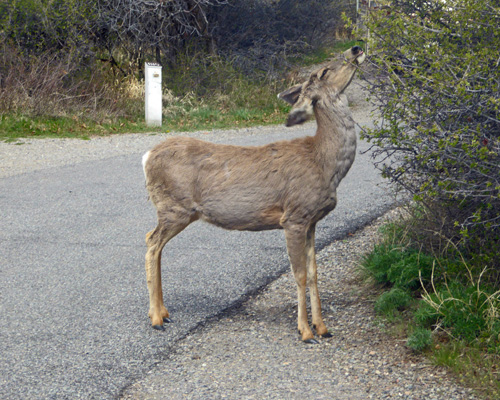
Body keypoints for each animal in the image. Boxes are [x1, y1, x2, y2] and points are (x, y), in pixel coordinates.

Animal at [143, 45, 366, 342]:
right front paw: (305, 330)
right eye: (323, 71)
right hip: (174, 207)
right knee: (152, 242)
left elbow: (314, 273)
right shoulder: (294, 216)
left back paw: (164, 312)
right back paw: (156, 317)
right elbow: (299, 275)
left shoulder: (312, 221)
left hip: (174, 210)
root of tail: (147, 156)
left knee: (154, 243)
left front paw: (323, 327)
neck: (324, 162)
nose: (356, 48)